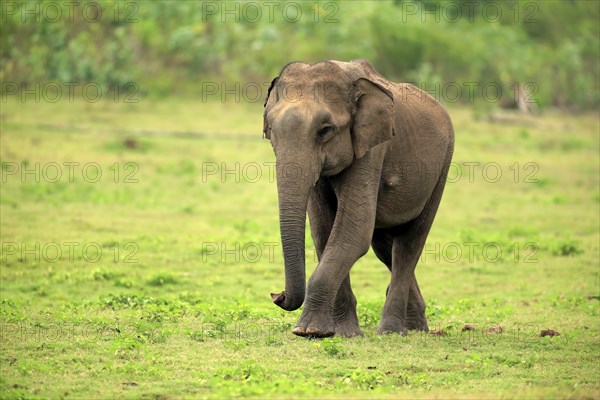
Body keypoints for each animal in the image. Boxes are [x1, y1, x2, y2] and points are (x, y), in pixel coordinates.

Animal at [262, 59, 454, 338]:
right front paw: (343, 333)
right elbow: (324, 232)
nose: (276, 295)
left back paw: (391, 331)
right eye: (270, 130)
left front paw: (308, 331)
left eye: (325, 130)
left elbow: (353, 231)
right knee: (385, 248)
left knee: (408, 245)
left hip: (443, 167)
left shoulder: (371, 148)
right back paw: (416, 327)